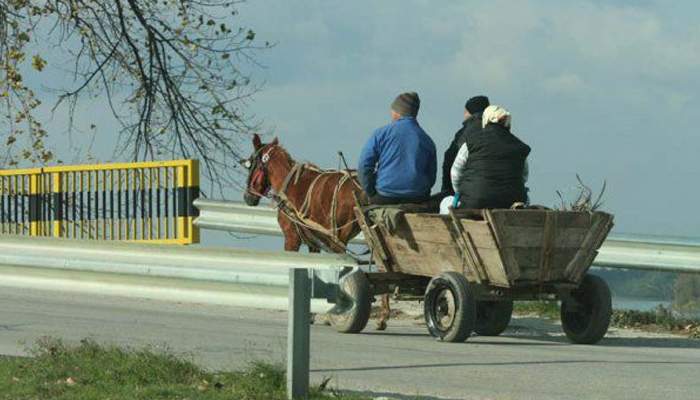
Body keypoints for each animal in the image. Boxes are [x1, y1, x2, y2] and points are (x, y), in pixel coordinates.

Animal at [241, 133, 392, 330]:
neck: (289, 186)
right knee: (384, 267)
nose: (248, 197)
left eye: (251, 163)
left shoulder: (291, 239)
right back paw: (382, 316)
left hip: (341, 236)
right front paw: (311, 312)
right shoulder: (314, 242)